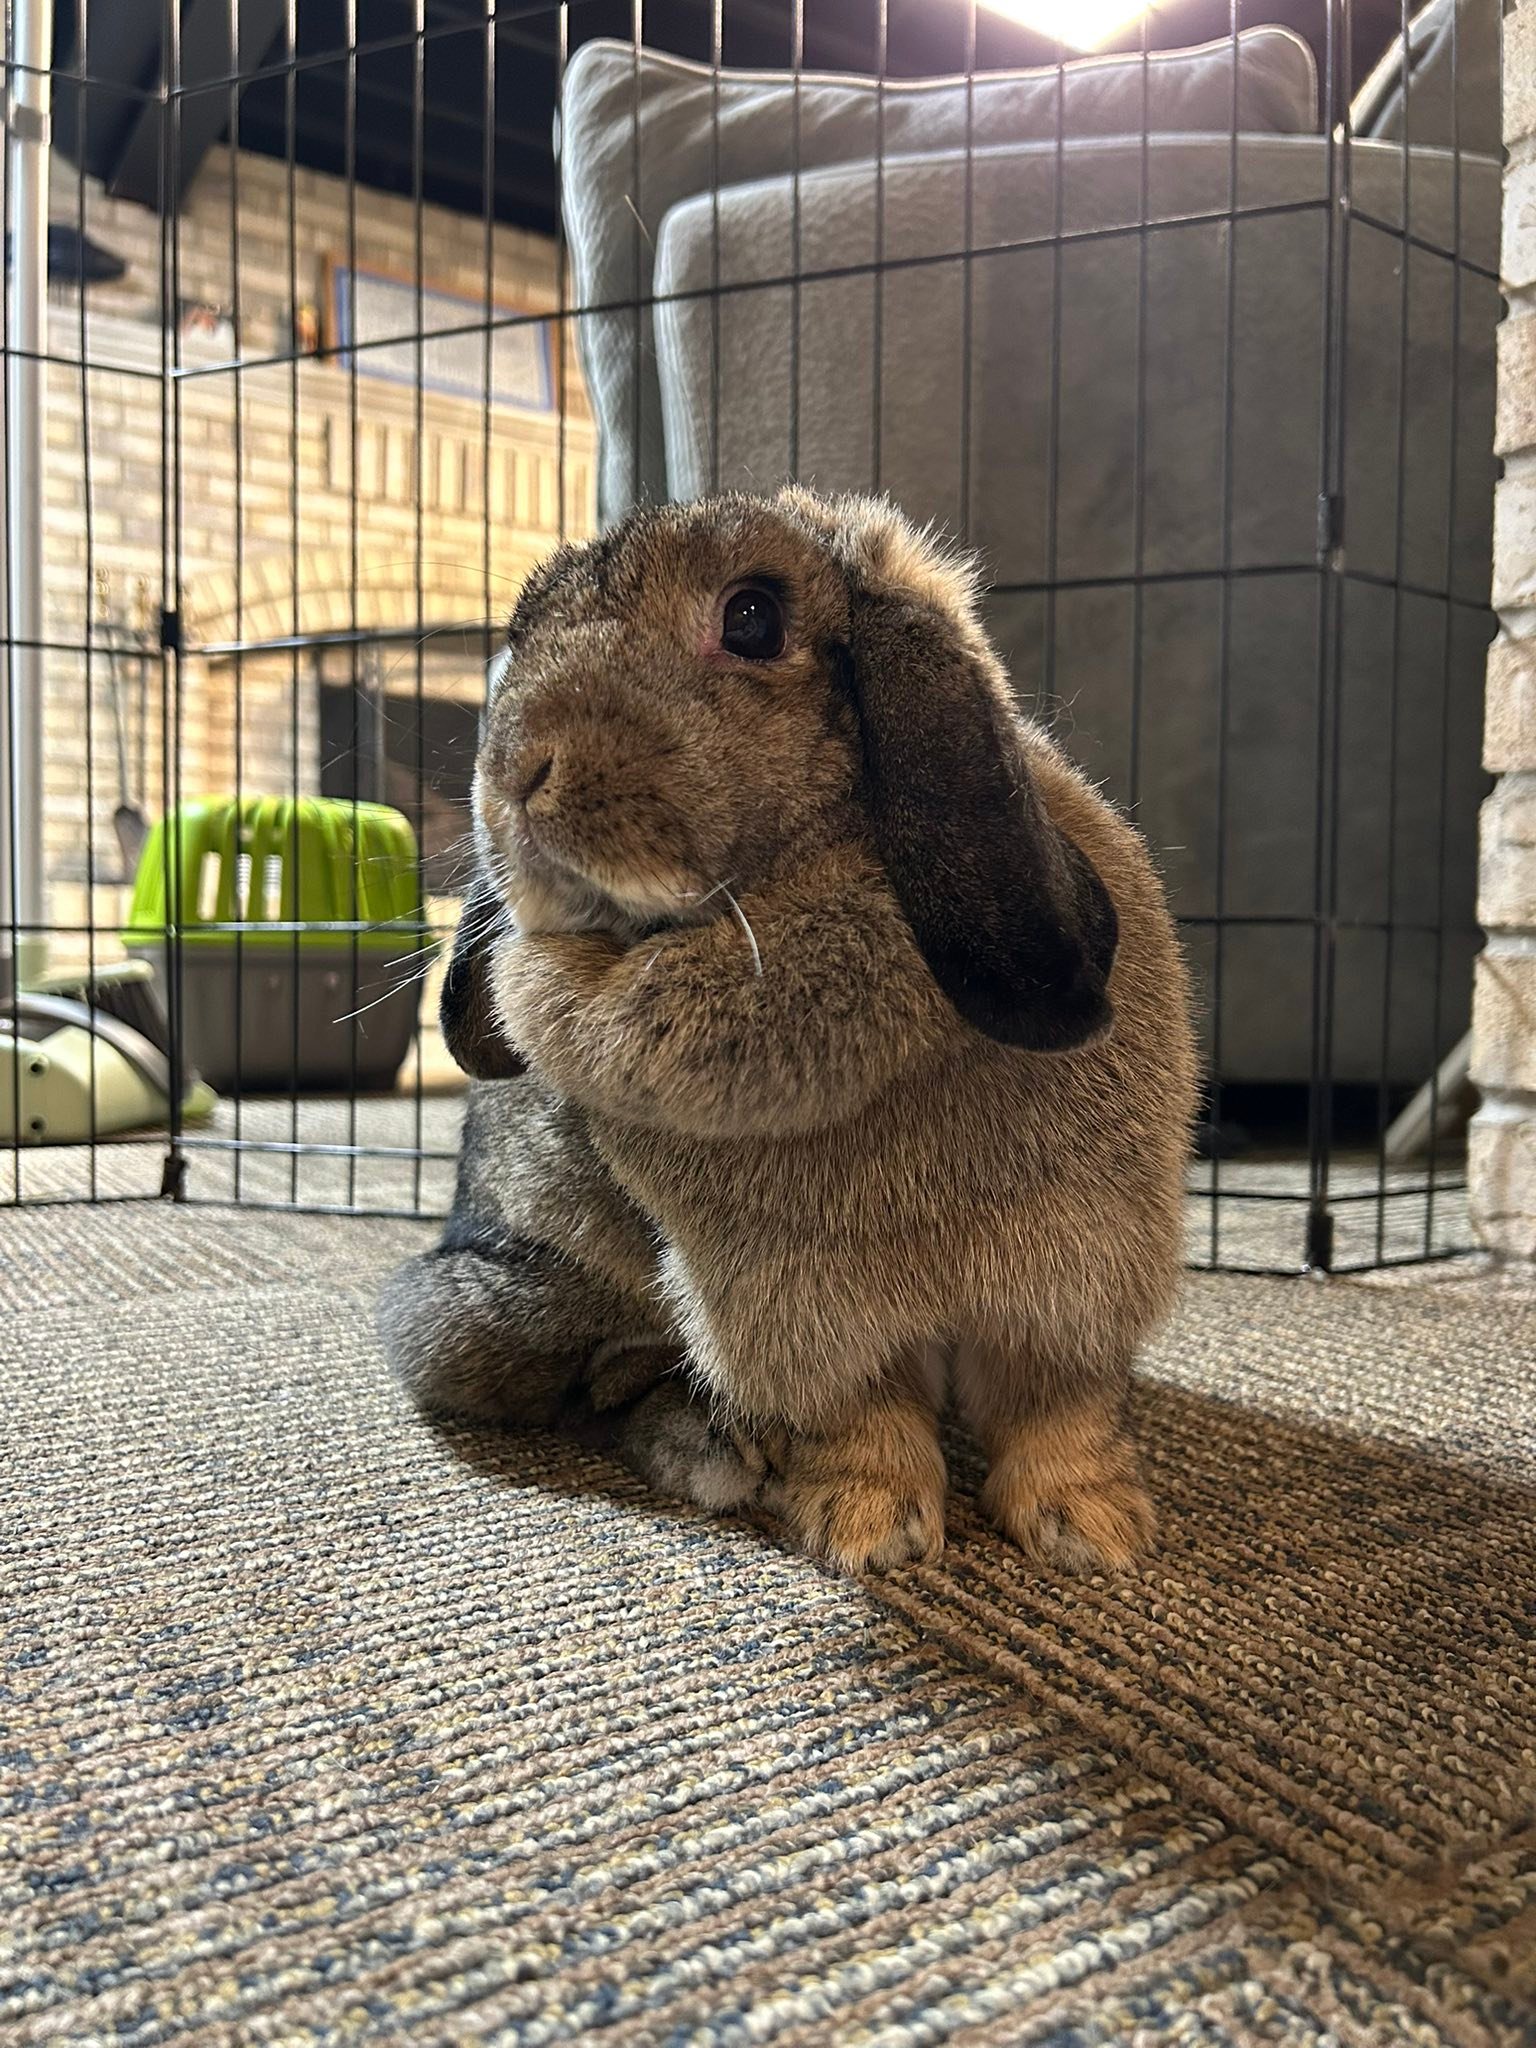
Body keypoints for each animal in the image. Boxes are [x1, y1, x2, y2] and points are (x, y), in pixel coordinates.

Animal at [380, 486, 1197, 1573]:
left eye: (754, 619)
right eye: (517, 639)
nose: (515, 774)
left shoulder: (1075, 1282)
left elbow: (1059, 1410)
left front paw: (1092, 1532)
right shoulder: (801, 1312)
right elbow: (862, 1418)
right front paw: (871, 1529)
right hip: (504, 1312)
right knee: (604, 1383)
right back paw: (718, 1449)